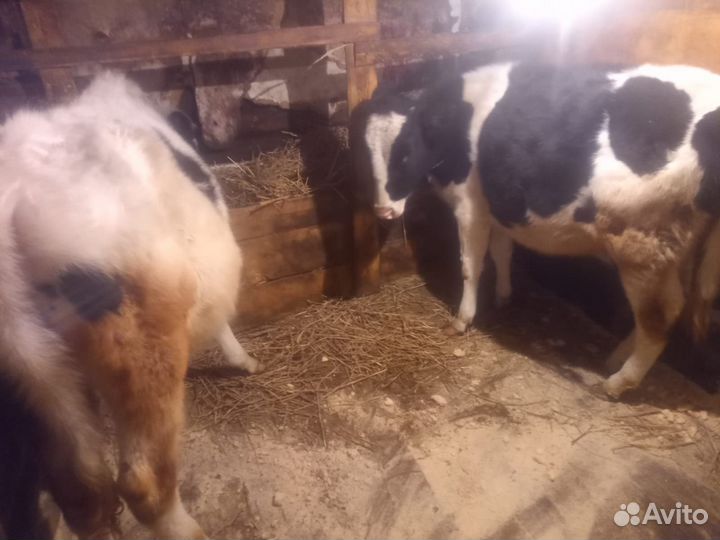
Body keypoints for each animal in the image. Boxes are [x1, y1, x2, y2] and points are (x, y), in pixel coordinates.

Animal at [0, 72, 260, 539]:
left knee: (79, 486)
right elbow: (222, 323)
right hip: (144, 342)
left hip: (35, 383)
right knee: (143, 482)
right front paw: (244, 361)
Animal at [354, 61, 720, 398]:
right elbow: (502, 252)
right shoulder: (499, 204)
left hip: (641, 247)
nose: (383, 211)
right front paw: (504, 295)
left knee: (659, 317)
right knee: (672, 307)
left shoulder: (470, 206)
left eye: (404, 153)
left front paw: (462, 319)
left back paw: (617, 383)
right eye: (365, 155)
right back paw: (616, 359)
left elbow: (471, 265)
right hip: (671, 250)